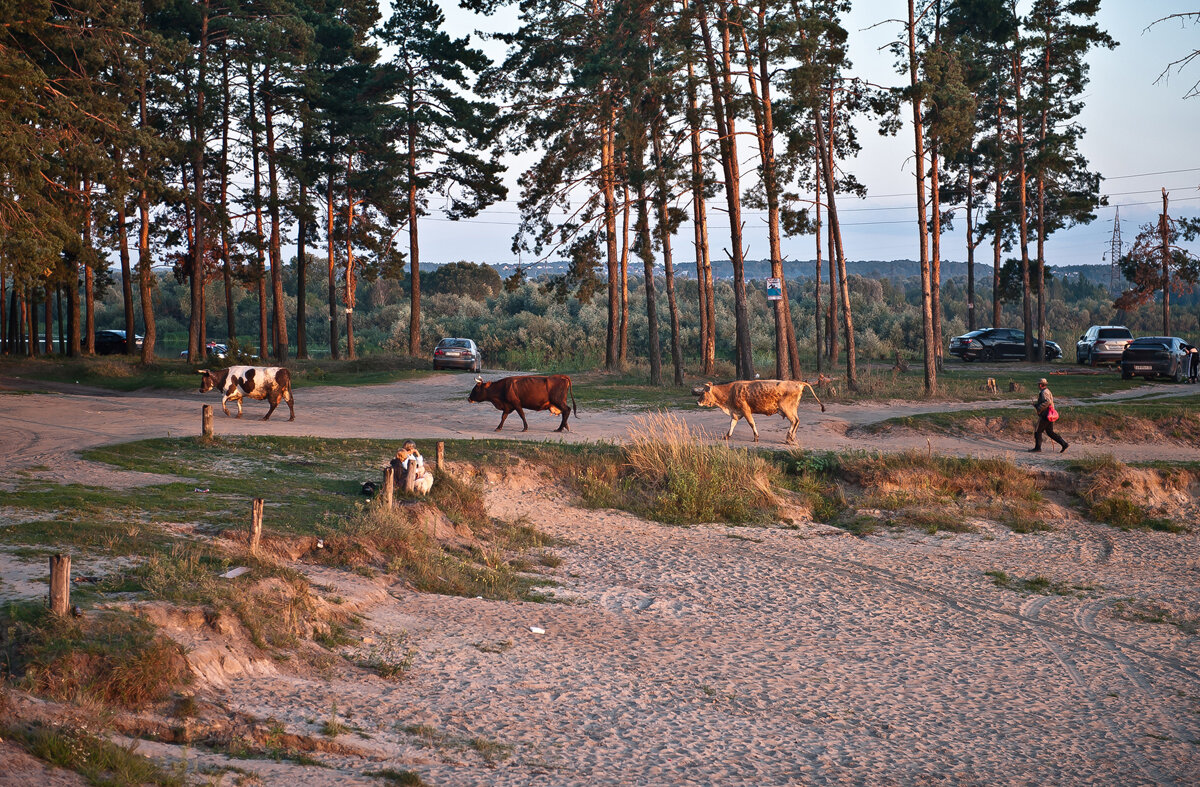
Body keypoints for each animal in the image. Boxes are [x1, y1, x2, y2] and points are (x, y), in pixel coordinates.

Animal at [696, 379, 825, 446]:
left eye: (703, 393)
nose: (697, 402)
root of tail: (798, 383)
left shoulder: (746, 410)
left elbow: (751, 423)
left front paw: (756, 437)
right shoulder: (736, 413)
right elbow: (732, 424)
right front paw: (727, 436)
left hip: (787, 409)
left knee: (793, 421)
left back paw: (788, 438)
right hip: (792, 409)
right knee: (797, 421)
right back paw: (791, 437)